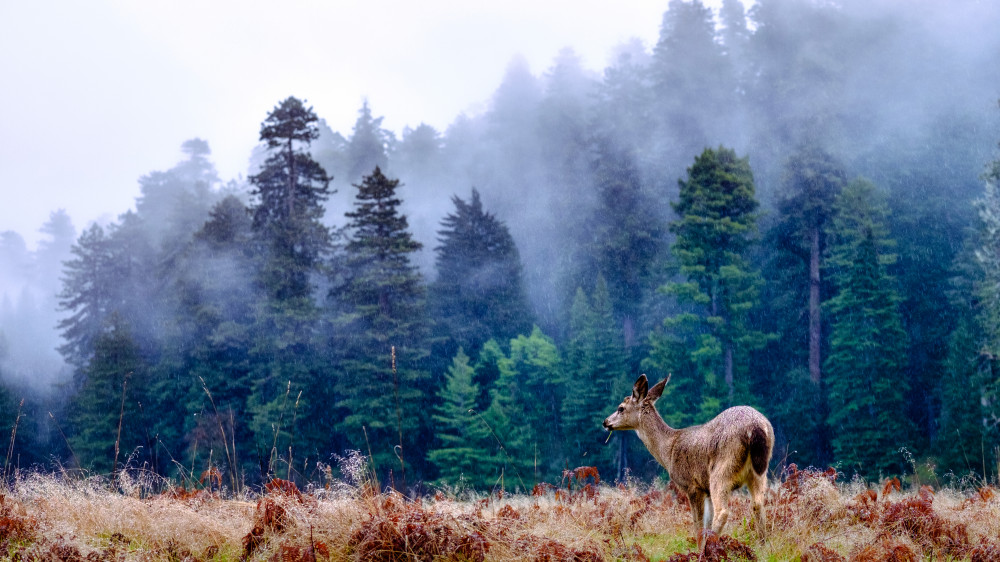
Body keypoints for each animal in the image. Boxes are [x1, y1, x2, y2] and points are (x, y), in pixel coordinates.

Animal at [600, 372, 772, 544]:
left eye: (620, 408)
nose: (605, 422)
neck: (668, 450)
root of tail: (754, 427)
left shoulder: (692, 485)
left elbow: (698, 525)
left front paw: (700, 548)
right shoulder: (705, 489)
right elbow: (705, 523)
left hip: (722, 469)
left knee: (723, 511)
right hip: (758, 472)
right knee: (758, 504)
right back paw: (762, 545)